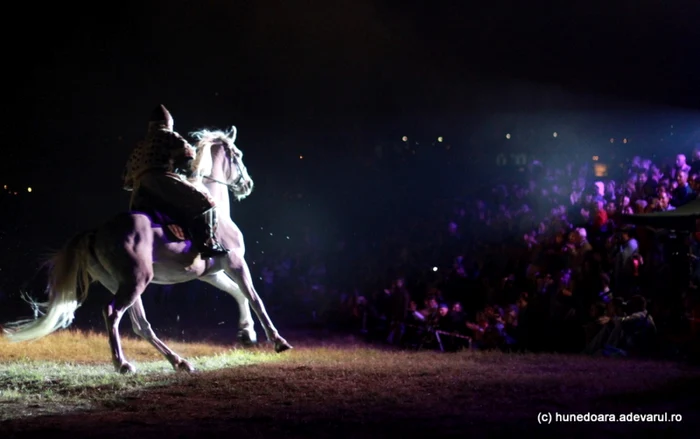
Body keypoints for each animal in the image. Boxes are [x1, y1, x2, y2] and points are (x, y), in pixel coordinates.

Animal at [2, 125, 292, 372]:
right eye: (238, 155)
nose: (247, 184)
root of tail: (96, 233)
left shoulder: (211, 273)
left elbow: (237, 294)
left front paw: (247, 333)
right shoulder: (235, 263)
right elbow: (254, 298)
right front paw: (277, 340)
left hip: (123, 283)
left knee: (140, 325)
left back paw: (178, 362)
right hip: (137, 280)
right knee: (113, 313)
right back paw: (123, 364)